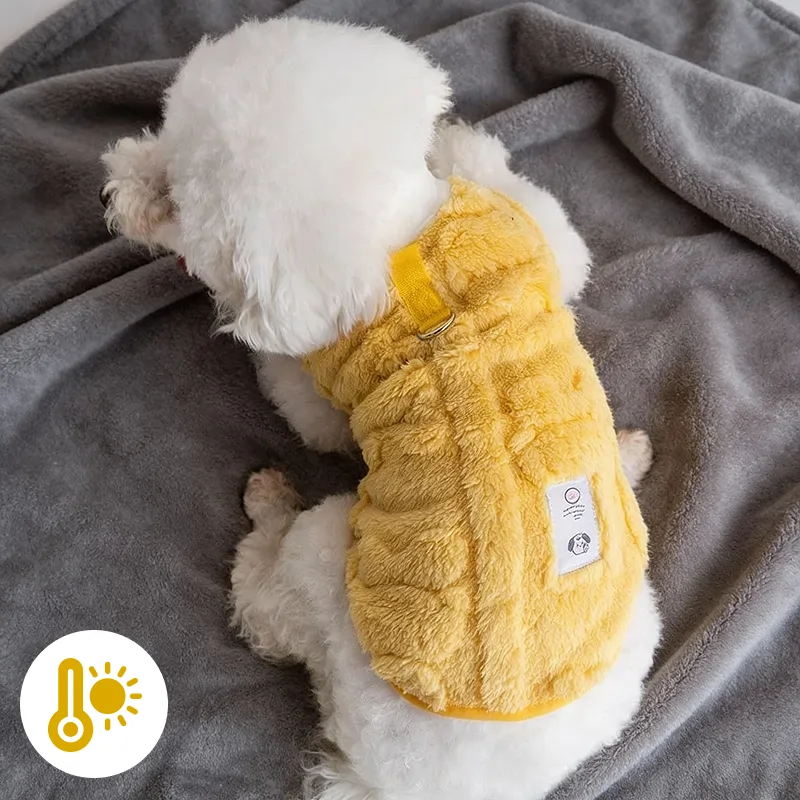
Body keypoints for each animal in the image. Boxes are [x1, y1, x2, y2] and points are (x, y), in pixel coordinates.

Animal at [101, 18, 660, 799]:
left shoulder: (318, 381)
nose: (108, 192)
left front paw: (456, 144)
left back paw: (269, 502)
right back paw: (627, 459)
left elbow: (302, 404)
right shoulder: (544, 241)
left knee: (263, 604)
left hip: (325, 555)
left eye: (172, 200)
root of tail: (404, 783)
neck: (403, 244)